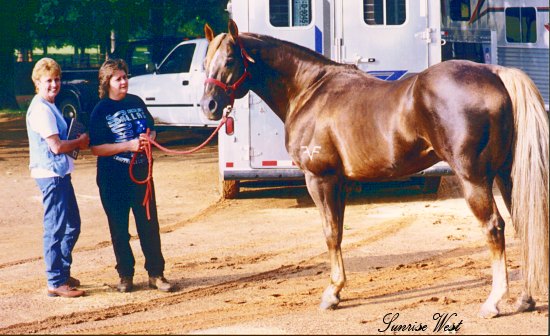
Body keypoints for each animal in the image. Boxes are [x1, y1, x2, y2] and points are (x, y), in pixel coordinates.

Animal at [203, 21, 550, 318]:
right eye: (206, 60)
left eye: (231, 59)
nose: (209, 105)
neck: (309, 90)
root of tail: (494, 73)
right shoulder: (340, 182)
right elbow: (339, 231)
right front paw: (338, 290)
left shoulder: (320, 179)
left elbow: (330, 233)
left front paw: (331, 294)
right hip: (506, 175)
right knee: (523, 222)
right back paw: (525, 299)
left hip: (473, 178)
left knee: (494, 227)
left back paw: (493, 302)